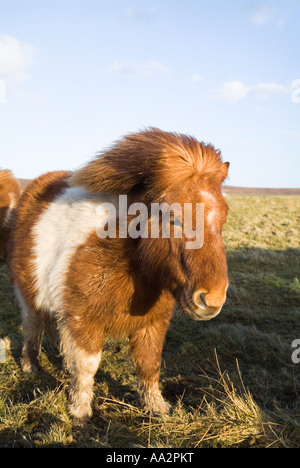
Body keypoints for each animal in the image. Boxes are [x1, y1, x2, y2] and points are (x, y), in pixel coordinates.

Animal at [9, 128, 230, 420]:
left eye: (224, 217)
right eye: (173, 218)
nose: (212, 300)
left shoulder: (153, 323)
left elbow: (149, 365)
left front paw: (157, 407)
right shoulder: (84, 321)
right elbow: (88, 365)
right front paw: (80, 411)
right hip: (29, 295)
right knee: (33, 327)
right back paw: (30, 366)